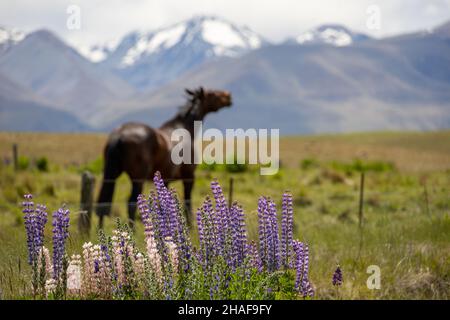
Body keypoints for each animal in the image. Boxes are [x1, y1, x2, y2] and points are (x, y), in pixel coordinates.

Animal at [95, 86, 232, 229]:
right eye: (212, 93)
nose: (228, 96)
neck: (183, 129)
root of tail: (119, 134)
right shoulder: (189, 176)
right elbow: (187, 203)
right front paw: (190, 228)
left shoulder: (165, 180)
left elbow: (163, 206)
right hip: (138, 179)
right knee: (131, 204)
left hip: (110, 174)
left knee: (103, 203)